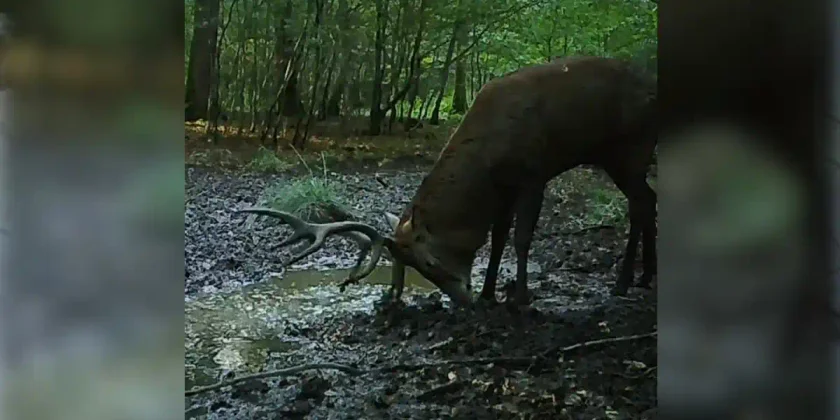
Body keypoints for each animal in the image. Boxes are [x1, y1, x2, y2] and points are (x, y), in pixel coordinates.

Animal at [237, 56, 657, 308]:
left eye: (428, 262)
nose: (461, 298)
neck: (489, 157)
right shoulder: (504, 188)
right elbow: (498, 237)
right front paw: (489, 293)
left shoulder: (533, 173)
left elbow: (521, 238)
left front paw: (520, 298)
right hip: (617, 156)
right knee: (648, 200)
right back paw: (644, 278)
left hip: (631, 147)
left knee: (640, 202)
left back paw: (624, 282)